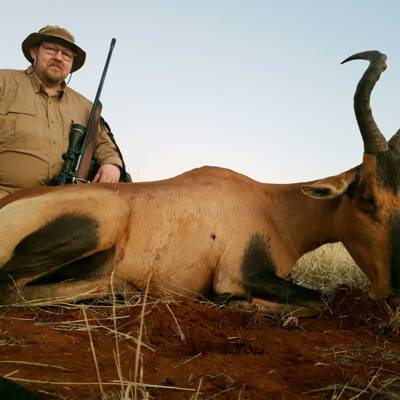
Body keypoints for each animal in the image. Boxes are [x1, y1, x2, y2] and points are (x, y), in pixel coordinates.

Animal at [0, 51, 399, 311]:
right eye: (367, 197)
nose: (393, 295)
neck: (268, 204)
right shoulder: (240, 274)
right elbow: (320, 301)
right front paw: (231, 303)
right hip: (100, 222)